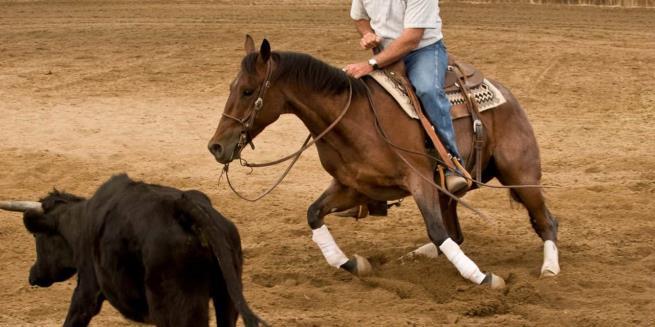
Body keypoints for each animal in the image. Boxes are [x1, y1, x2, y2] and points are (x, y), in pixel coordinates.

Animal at [0, 176, 266, 327]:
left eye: (37, 236)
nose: (32, 275)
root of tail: (186, 208)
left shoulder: (87, 289)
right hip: (227, 299)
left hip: (179, 308)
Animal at [209, 36, 560, 290]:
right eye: (231, 87)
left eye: (248, 90)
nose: (216, 146)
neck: (355, 117)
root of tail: (506, 94)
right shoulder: (353, 186)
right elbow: (313, 214)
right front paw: (352, 263)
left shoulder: (419, 180)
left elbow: (435, 229)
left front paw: (484, 278)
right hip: (447, 189)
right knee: (455, 233)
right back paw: (417, 254)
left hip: (520, 173)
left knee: (546, 221)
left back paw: (550, 268)